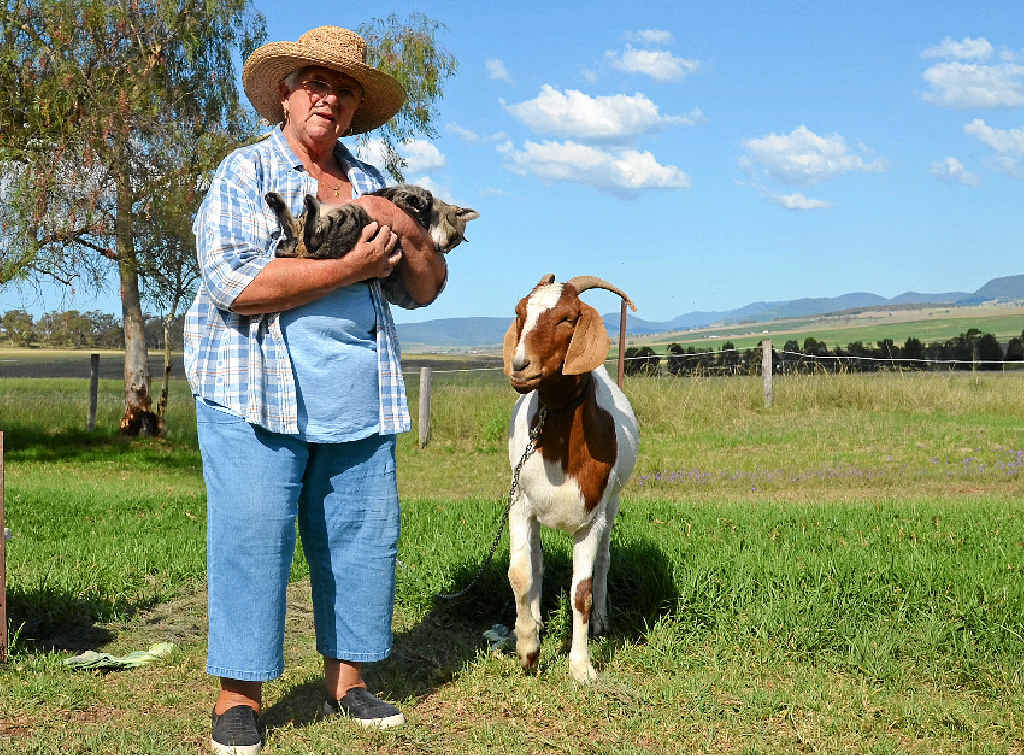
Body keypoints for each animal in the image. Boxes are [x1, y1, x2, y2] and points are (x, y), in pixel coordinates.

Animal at [502, 274, 640, 683]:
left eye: (567, 318)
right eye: (520, 312)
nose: (520, 366)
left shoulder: (591, 519)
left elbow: (582, 593)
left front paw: (581, 667)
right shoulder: (520, 505)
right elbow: (521, 574)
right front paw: (527, 647)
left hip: (612, 505)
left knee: (605, 559)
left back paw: (601, 622)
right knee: (536, 560)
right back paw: (533, 621)